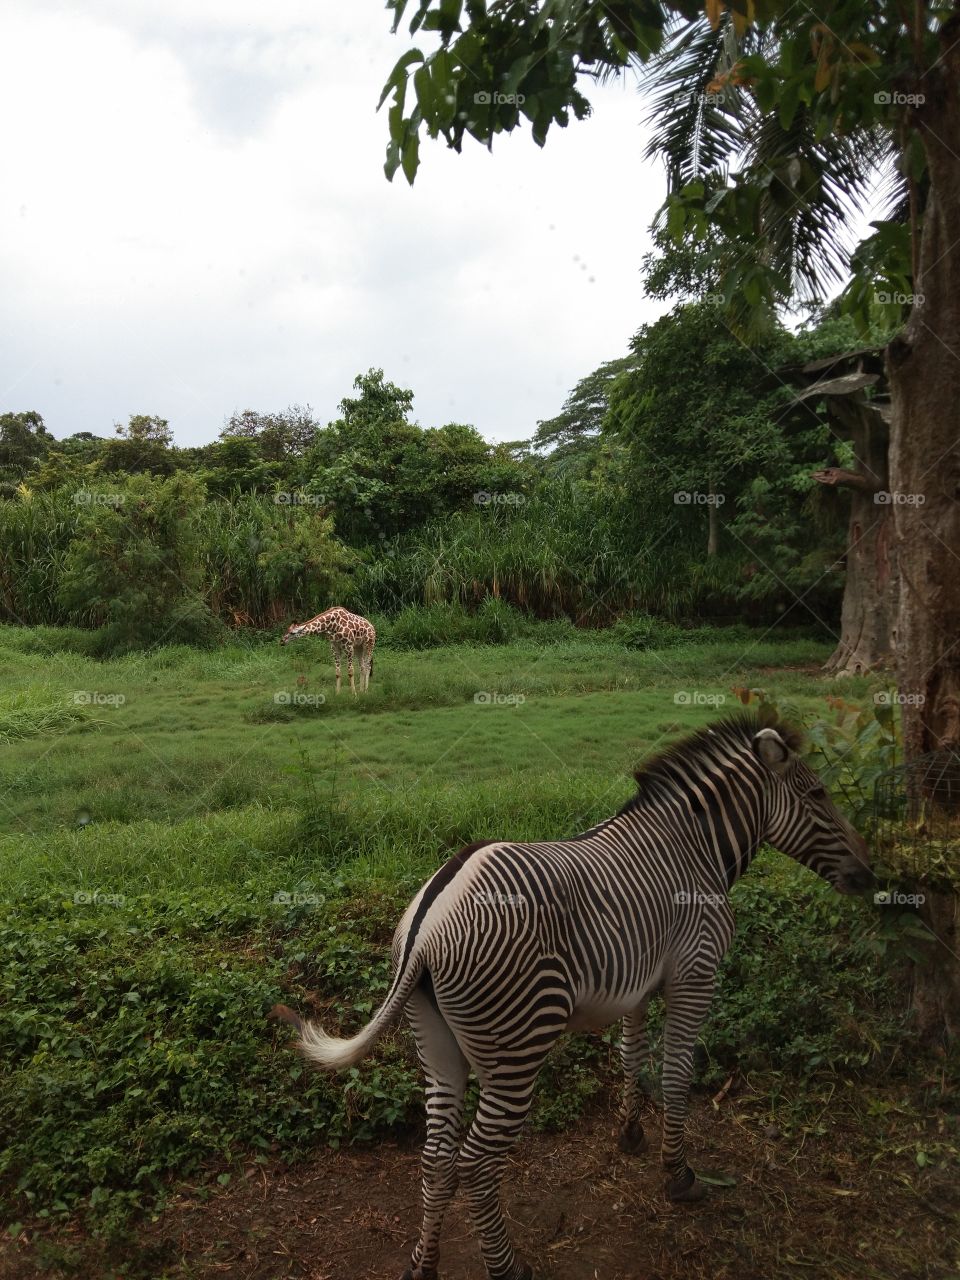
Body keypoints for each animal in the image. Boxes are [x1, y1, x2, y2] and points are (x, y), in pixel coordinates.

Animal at [272, 715, 874, 1280]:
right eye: (819, 795)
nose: (870, 878)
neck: (694, 850)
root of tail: (427, 925)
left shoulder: (639, 980)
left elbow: (632, 1056)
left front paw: (630, 1133)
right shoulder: (696, 972)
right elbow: (677, 1073)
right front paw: (678, 1174)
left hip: (436, 1043)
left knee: (438, 1158)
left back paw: (423, 1264)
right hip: (516, 1046)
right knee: (476, 1164)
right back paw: (507, 1269)